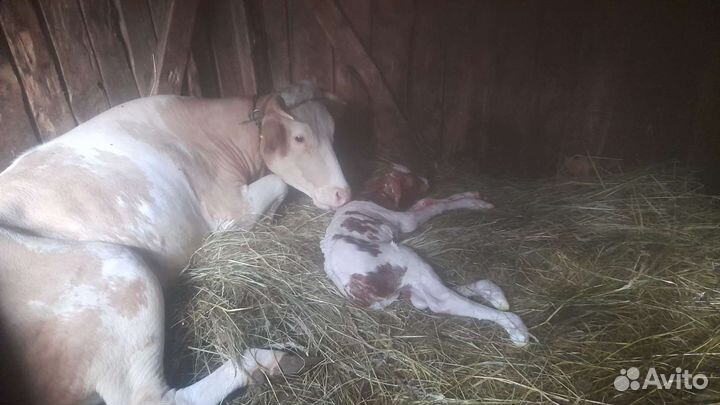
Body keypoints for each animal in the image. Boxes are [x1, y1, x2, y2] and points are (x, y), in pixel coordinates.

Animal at [0, 82, 350, 405]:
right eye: (299, 137)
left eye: (334, 133)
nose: (343, 194)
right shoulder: (228, 211)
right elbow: (279, 184)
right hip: (122, 274)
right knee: (153, 398)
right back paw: (267, 361)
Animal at [321, 166, 529, 346]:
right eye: (409, 180)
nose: (427, 179)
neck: (372, 195)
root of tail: (359, 294)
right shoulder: (407, 220)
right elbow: (436, 206)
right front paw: (476, 202)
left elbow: (433, 201)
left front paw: (472, 195)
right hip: (407, 258)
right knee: (441, 301)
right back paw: (515, 326)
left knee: (427, 299)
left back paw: (494, 294)